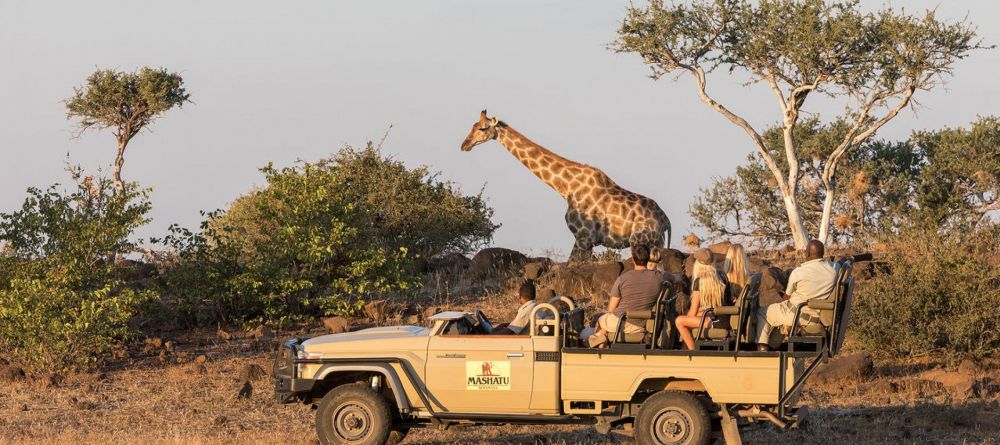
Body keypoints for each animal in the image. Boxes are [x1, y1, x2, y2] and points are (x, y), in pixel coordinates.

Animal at [462, 109, 672, 262]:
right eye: (472, 126)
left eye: (482, 128)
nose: (464, 145)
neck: (566, 188)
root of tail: (666, 221)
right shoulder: (585, 241)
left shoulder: (584, 237)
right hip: (655, 245)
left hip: (642, 241)